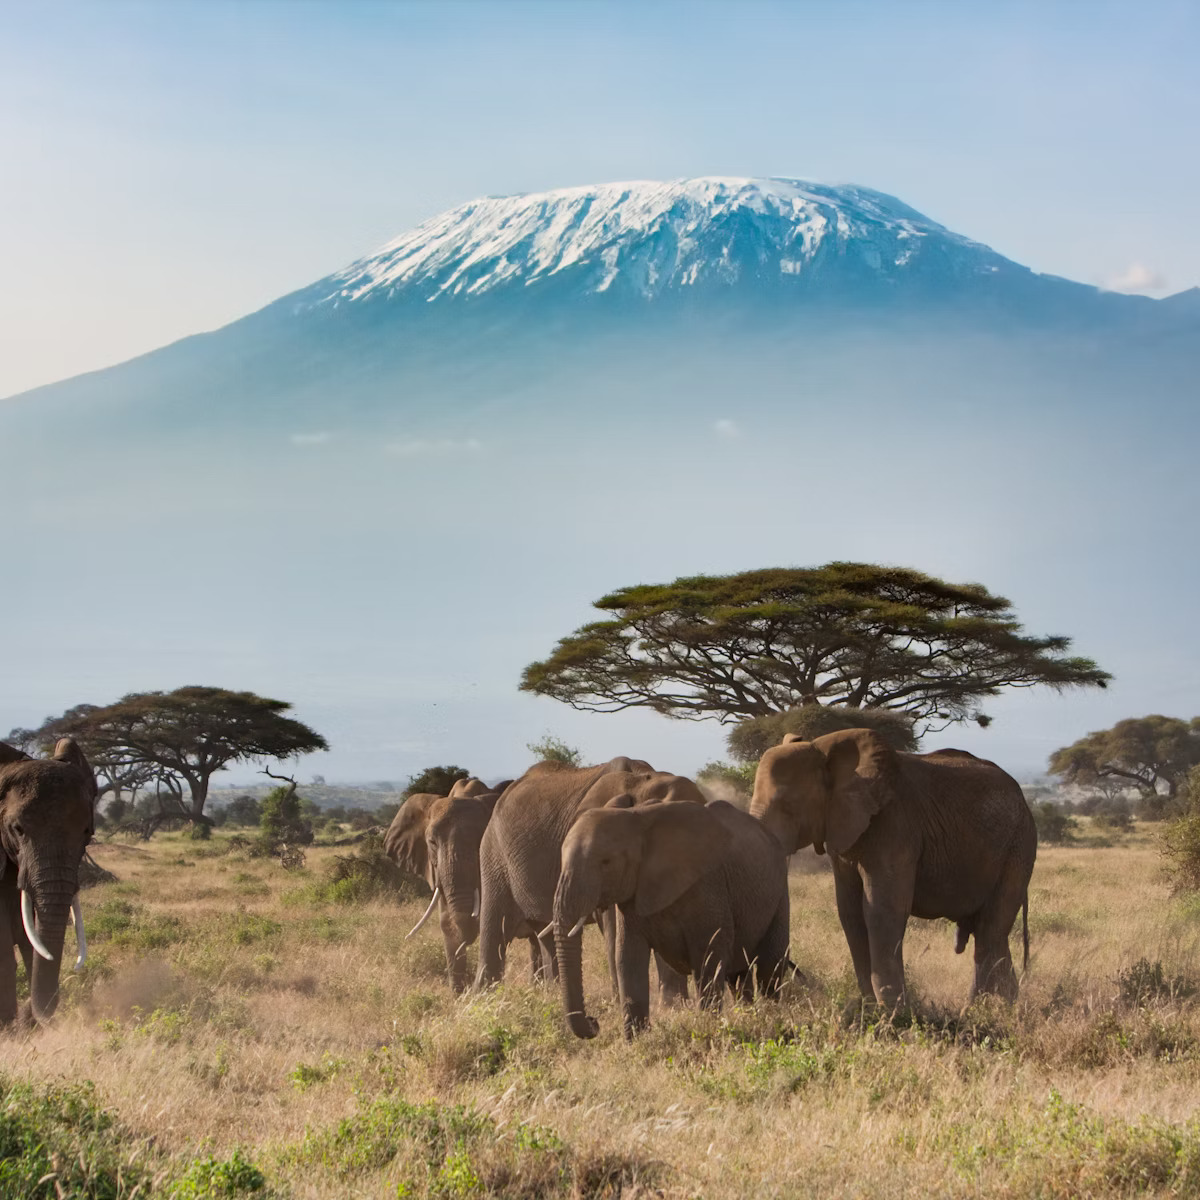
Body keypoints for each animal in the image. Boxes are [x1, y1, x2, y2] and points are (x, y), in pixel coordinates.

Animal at [472, 758, 705, 993]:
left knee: (545, 935)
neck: (644, 781)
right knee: (496, 930)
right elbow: (614, 929)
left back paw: (552, 994)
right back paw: (482, 995)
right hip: (495, 856)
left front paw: (674, 1001)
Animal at [549, 796, 787, 1041]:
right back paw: (750, 1015)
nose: (594, 1021)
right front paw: (637, 1042)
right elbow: (628, 957)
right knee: (738, 975)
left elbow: (709, 955)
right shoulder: (634, 894)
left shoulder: (708, 885)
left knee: (769, 966)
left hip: (779, 890)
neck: (636, 820)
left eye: (606, 862)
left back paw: (771, 1014)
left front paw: (709, 1028)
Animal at [748, 724, 1032, 1008]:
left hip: (1017, 848)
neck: (824, 749)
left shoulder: (895, 825)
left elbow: (883, 910)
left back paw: (992, 1009)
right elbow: (850, 912)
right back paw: (991, 1006)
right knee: (987, 932)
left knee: (991, 930)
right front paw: (872, 1007)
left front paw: (894, 1010)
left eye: (787, 806)